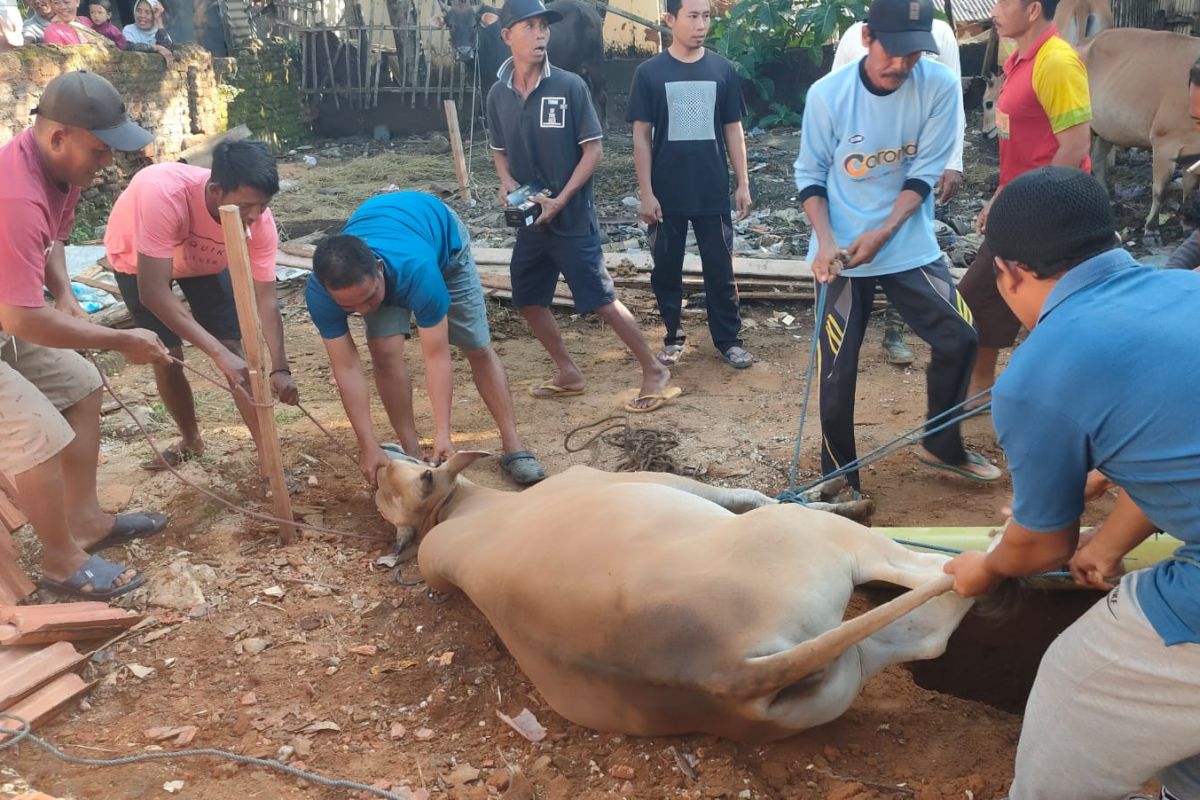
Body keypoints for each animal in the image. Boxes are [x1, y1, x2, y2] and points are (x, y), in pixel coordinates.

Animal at [374, 453, 974, 743]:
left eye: (400, 477)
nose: (376, 462)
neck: (459, 509)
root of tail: (728, 669)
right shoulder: (664, 480)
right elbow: (750, 494)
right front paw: (846, 497)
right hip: (818, 542)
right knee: (922, 572)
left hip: (849, 667)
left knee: (930, 639)